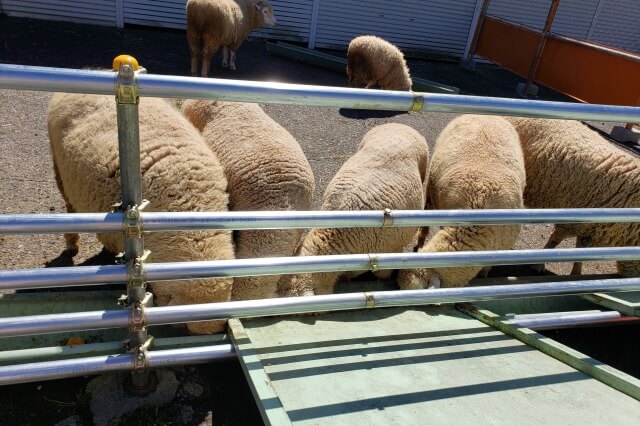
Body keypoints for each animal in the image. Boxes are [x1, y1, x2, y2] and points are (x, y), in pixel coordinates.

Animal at [504, 116, 640, 276]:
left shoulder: (588, 228)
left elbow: (581, 251)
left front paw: (576, 273)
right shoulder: (570, 220)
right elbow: (555, 241)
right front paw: (539, 264)